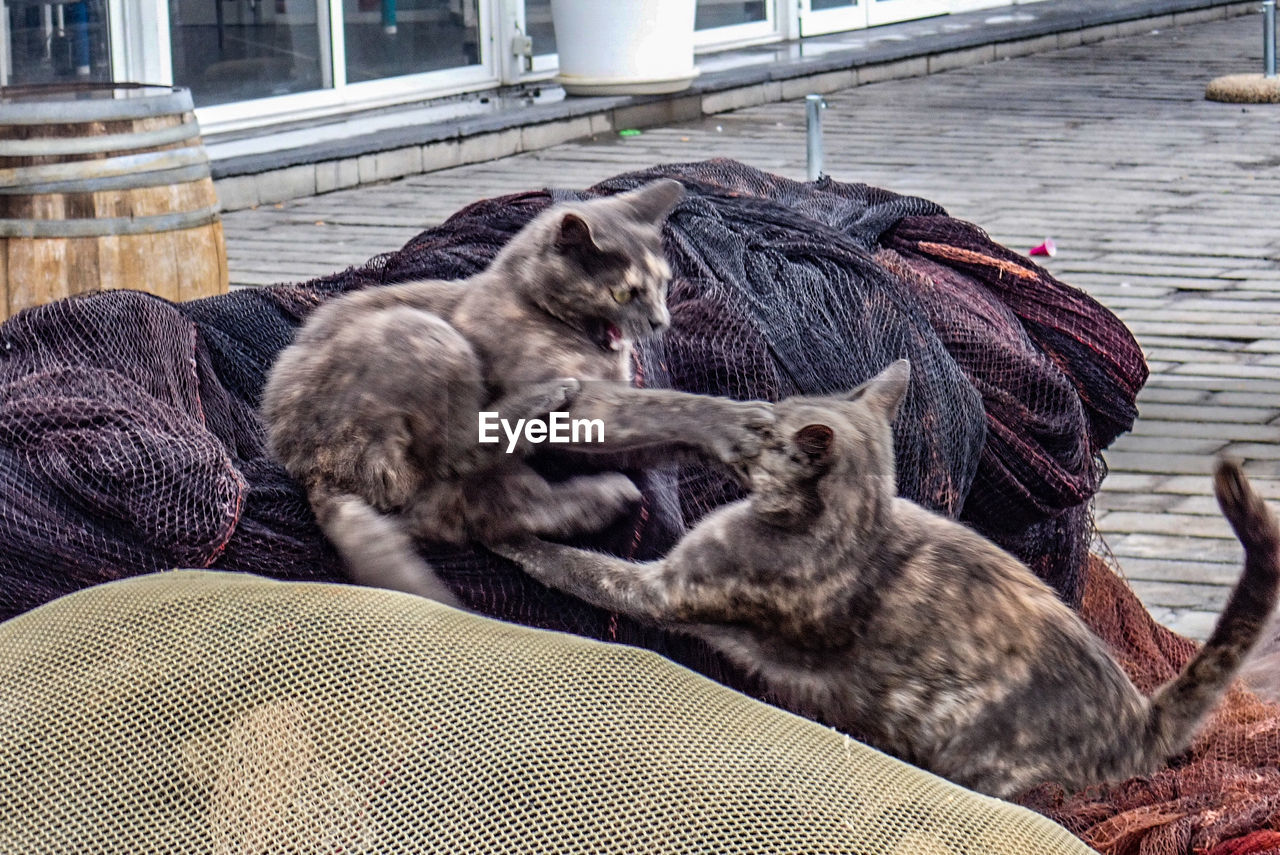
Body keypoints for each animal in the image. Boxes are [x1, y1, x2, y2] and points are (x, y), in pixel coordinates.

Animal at [262, 180, 768, 606]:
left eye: (664, 284)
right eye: (625, 294)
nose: (661, 321)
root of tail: (311, 470)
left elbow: (656, 435)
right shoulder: (586, 408)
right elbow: (665, 406)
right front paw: (737, 422)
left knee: (481, 515)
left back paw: (608, 496)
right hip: (423, 334)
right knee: (464, 462)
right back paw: (551, 412)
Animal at [483, 358, 1274, 793]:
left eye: (762, 428)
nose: (738, 413)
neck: (858, 522)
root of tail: (1136, 716)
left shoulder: (666, 588)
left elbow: (580, 565)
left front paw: (504, 533)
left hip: (971, 747)